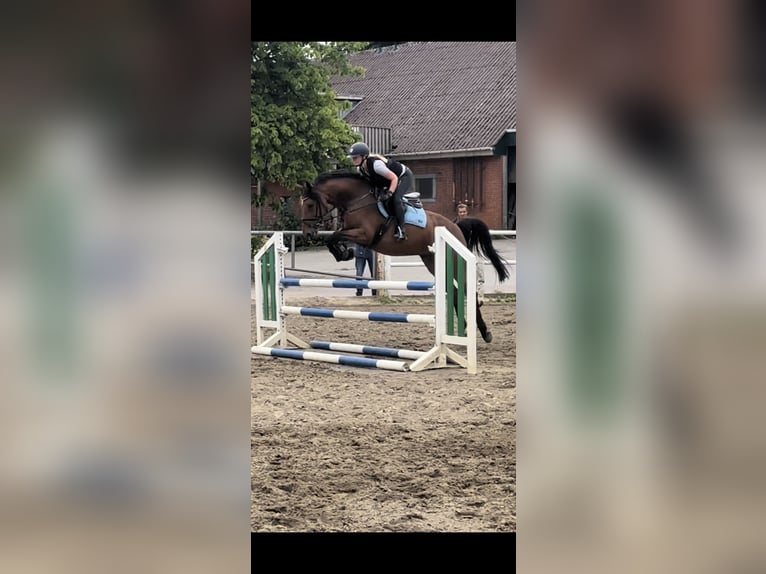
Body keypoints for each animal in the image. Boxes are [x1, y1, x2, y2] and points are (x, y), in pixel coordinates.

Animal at [300, 171, 510, 343]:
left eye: (309, 204)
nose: (307, 234)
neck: (357, 201)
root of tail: (455, 226)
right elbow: (334, 237)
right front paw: (343, 252)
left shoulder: (364, 234)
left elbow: (334, 236)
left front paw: (344, 252)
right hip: (432, 261)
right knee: (456, 292)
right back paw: (465, 330)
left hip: (455, 260)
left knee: (467, 292)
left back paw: (485, 333)